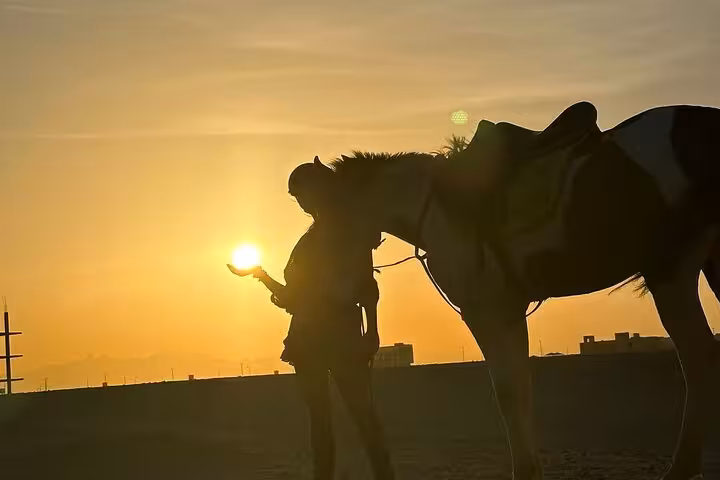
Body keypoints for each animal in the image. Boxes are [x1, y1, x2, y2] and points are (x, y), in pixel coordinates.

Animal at [309, 103, 720, 480]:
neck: (436, 205)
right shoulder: (509, 308)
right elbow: (520, 387)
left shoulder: (487, 310)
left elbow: (507, 390)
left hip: (670, 268)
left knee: (697, 357)